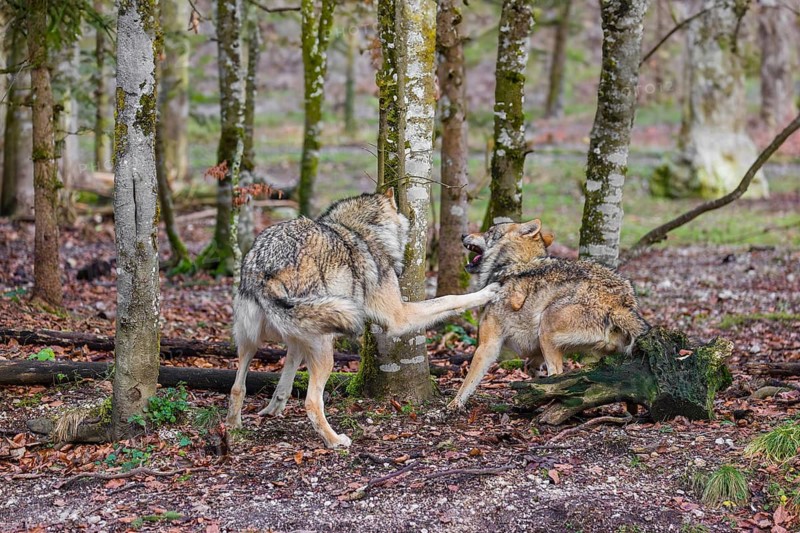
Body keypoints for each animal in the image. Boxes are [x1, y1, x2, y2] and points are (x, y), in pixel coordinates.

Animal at [226, 189, 500, 448]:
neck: (365, 231)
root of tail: (265, 267)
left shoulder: (295, 341)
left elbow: (286, 375)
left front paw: (274, 407)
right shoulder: (399, 316)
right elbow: (449, 299)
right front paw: (487, 291)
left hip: (250, 343)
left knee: (237, 387)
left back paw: (233, 427)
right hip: (325, 348)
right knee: (312, 402)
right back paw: (335, 441)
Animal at [447, 219, 648, 411]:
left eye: (489, 231)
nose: (463, 235)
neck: (512, 265)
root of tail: (619, 304)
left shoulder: (488, 345)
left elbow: (468, 381)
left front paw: (454, 405)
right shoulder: (534, 348)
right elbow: (530, 366)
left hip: (546, 327)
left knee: (557, 376)